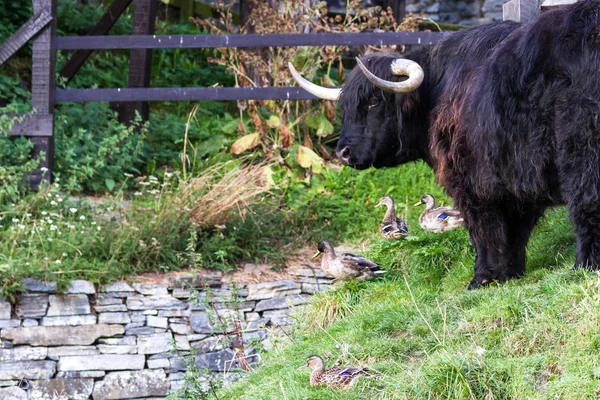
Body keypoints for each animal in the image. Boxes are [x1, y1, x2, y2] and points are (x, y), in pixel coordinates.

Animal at [290, 0, 600, 290]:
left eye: (374, 101)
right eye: (346, 107)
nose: (343, 152)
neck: (437, 92)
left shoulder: (472, 180)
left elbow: (485, 231)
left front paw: (482, 279)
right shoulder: (514, 179)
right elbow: (513, 231)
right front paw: (510, 273)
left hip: (581, 149)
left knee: (586, 203)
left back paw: (584, 266)